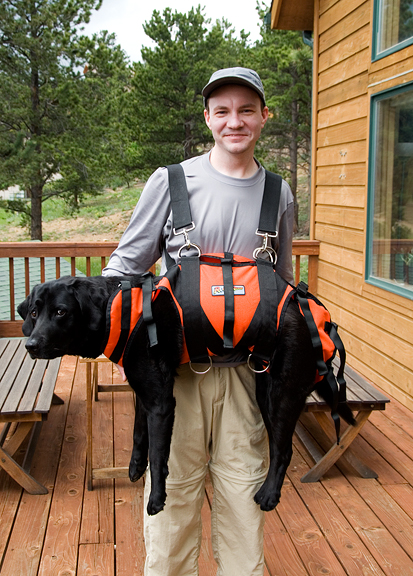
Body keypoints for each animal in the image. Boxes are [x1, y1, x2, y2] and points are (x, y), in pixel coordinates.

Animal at [16, 274, 350, 512]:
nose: (31, 345)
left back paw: (268, 496)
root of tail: (322, 320)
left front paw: (157, 499)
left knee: (283, 450)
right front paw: (135, 466)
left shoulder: (161, 402)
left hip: (280, 395)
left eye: (61, 312)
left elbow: (158, 454)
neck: (121, 310)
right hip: (265, 390)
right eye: (34, 312)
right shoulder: (144, 393)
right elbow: (138, 433)